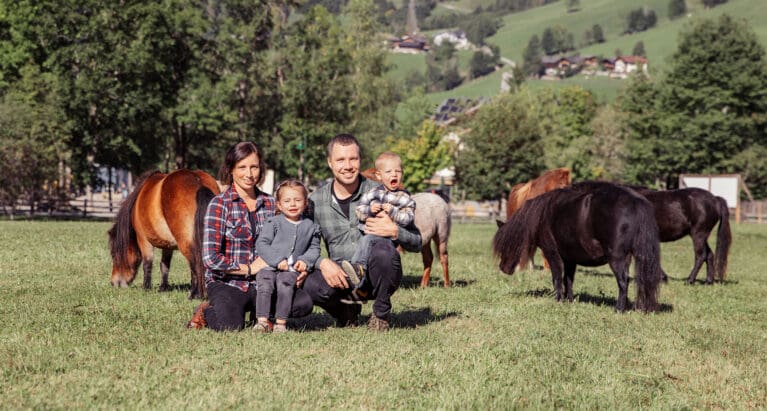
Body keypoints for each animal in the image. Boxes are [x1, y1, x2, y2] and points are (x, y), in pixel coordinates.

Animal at [106, 169, 219, 300]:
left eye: (113, 254)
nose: (114, 282)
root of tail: (198, 181)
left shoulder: (143, 240)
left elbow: (147, 263)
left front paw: (146, 288)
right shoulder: (167, 245)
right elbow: (164, 265)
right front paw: (163, 288)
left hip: (186, 243)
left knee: (195, 264)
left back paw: (195, 295)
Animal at [496, 182, 664, 314]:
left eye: (505, 242)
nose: (503, 268)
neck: (542, 214)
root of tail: (636, 201)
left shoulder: (552, 254)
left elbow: (557, 278)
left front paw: (558, 300)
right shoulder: (570, 259)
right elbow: (568, 280)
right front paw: (569, 300)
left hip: (616, 258)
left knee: (623, 281)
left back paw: (619, 309)